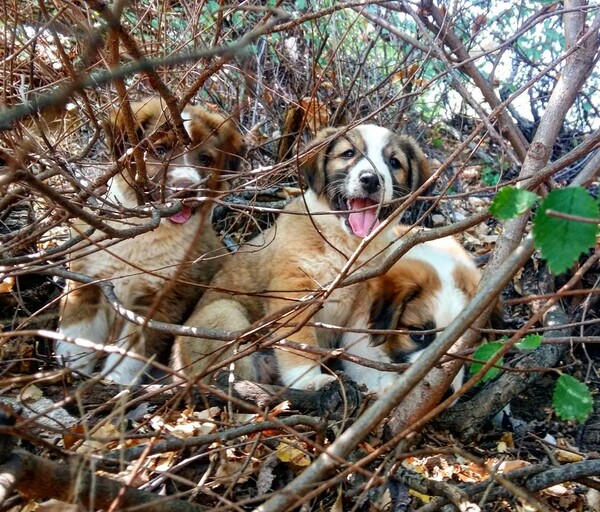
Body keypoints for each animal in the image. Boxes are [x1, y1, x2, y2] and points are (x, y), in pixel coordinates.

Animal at [54, 97, 246, 384]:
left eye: (205, 159)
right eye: (160, 150)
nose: (186, 189)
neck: (142, 232)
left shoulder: (161, 300)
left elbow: (133, 349)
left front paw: (115, 383)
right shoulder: (87, 280)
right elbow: (78, 333)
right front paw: (71, 371)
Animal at [172, 122, 432, 390]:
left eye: (394, 162)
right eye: (349, 153)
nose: (370, 180)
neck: (346, 247)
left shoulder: (363, 306)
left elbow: (363, 351)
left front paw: (381, 385)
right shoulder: (294, 292)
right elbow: (301, 344)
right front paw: (309, 380)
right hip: (225, 313)